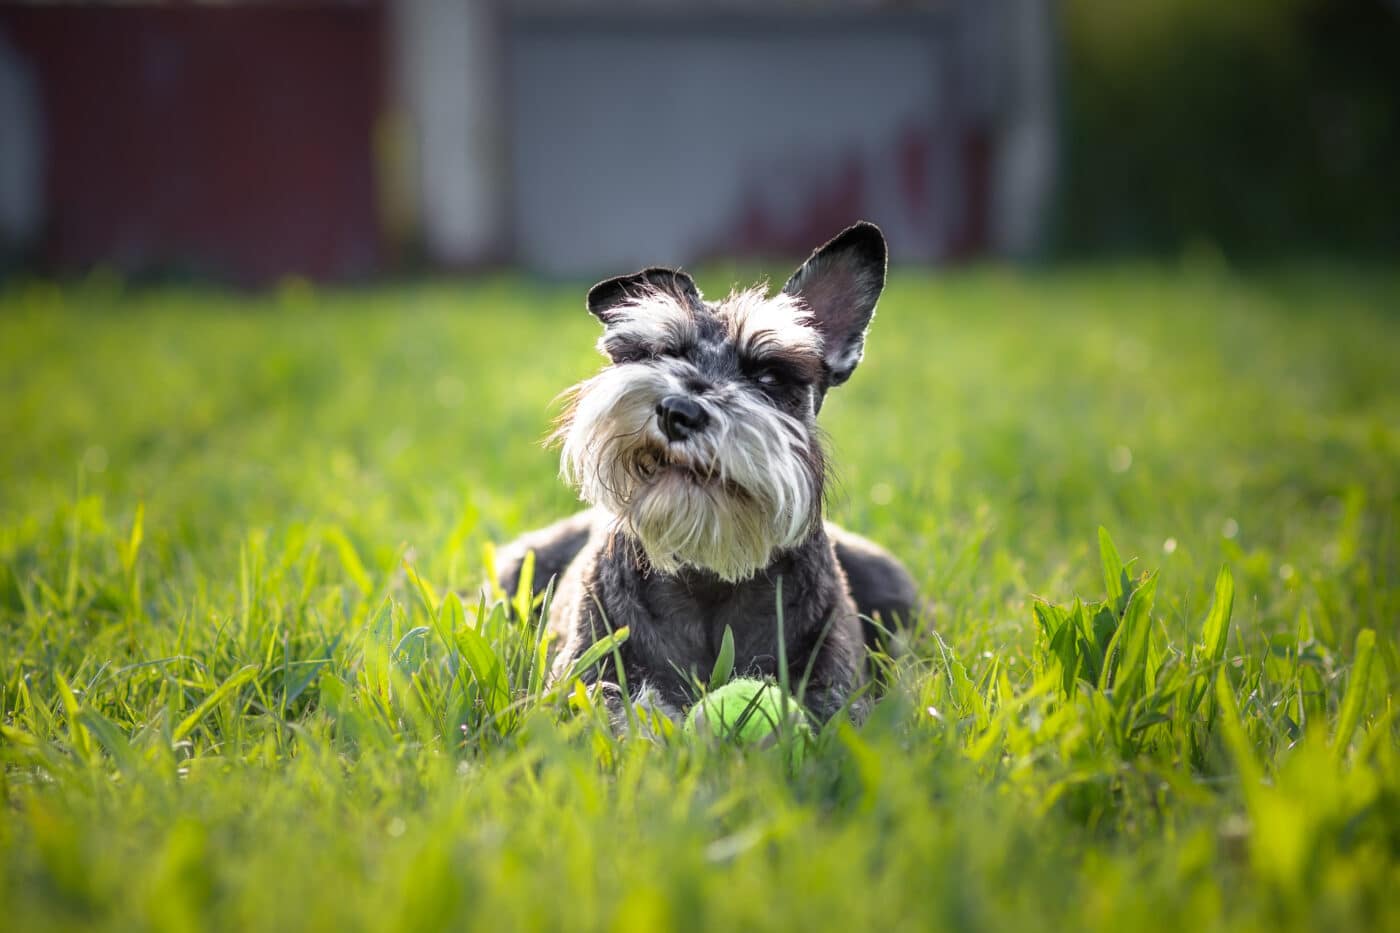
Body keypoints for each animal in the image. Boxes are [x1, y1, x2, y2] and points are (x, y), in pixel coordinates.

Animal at [495, 221, 918, 722]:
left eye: (770, 375)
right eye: (656, 353)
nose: (678, 412)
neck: (708, 576)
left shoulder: (837, 684)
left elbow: (832, 715)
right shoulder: (582, 677)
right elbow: (616, 710)